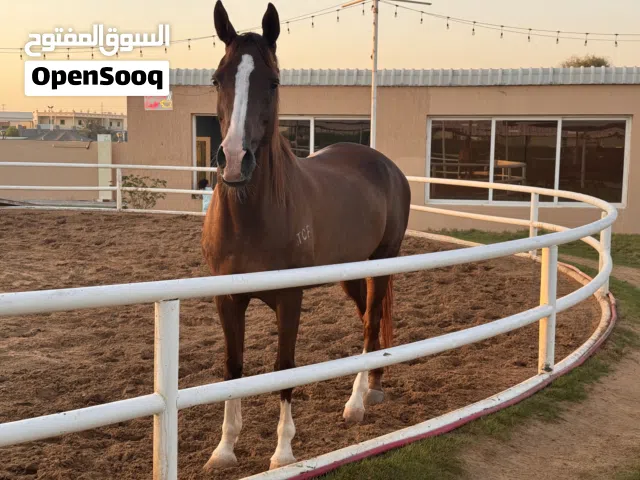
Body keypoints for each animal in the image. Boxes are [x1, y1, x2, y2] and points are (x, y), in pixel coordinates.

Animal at [201, 1, 411, 472]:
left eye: (274, 82)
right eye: (217, 78)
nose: (235, 160)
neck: (252, 218)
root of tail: (385, 165)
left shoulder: (289, 297)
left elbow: (285, 367)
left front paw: (283, 452)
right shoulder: (227, 298)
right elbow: (232, 366)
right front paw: (224, 449)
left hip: (381, 263)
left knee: (371, 324)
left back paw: (356, 404)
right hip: (350, 273)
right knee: (368, 323)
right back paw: (374, 385)